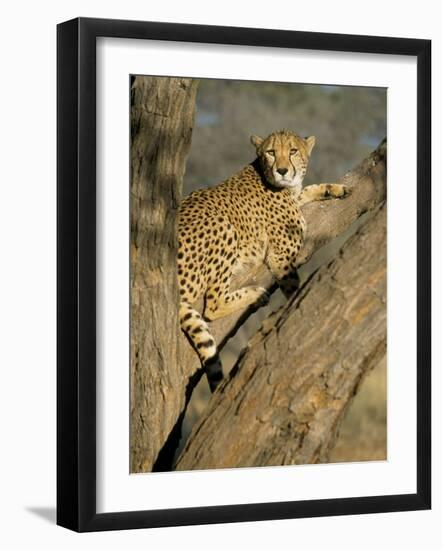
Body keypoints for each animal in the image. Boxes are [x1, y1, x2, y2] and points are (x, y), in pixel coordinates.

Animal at [178, 130, 350, 392]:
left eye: (293, 151)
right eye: (271, 152)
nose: (282, 170)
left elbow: (307, 190)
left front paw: (335, 188)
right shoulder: (280, 256)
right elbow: (293, 286)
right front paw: (294, 308)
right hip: (224, 226)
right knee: (213, 304)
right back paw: (256, 294)